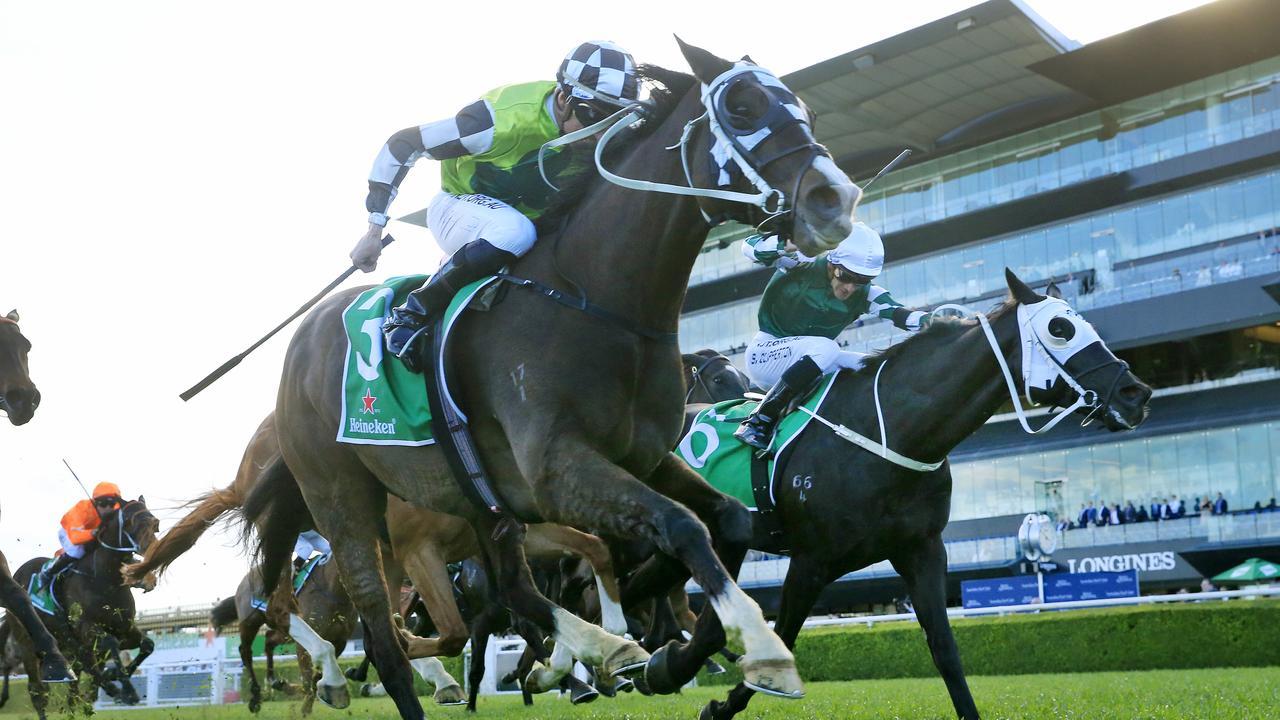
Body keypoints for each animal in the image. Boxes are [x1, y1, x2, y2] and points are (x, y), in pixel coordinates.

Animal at [9, 497, 160, 712]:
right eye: (130, 522)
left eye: (155, 523)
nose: (152, 550)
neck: (105, 579)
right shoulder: (87, 628)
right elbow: (110, 643)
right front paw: (128, 690)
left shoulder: (125, 629)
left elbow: (147, 644)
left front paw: (114, 677)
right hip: (29, 646)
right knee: (38, 692)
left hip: (67, 646)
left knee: (79, 673)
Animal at [247, 41, 860, 717]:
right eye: (742, 107)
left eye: (804, 110)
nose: (836, 199)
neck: (596, 300)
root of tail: (301, 342)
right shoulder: (556, 469)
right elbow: (681, 525)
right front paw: (761, 648)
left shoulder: (642, 459)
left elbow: (723, 522)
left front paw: (673, 660)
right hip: (341, 497)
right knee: (381, 637)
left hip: (474, 498)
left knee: (511, 591)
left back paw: (598, 649)